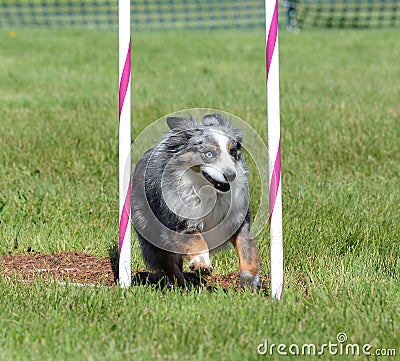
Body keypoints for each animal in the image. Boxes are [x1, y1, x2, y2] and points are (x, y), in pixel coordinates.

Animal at [133, 114, 260, 288]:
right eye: (208, 154)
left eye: (233, 152)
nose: (231, 175)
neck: (209, 192)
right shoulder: (180, 221)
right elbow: (196, 239)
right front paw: (201, 264)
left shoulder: (238, 220)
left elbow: (246, 249)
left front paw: (250, 282)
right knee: (169, 265)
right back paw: (182, 285)